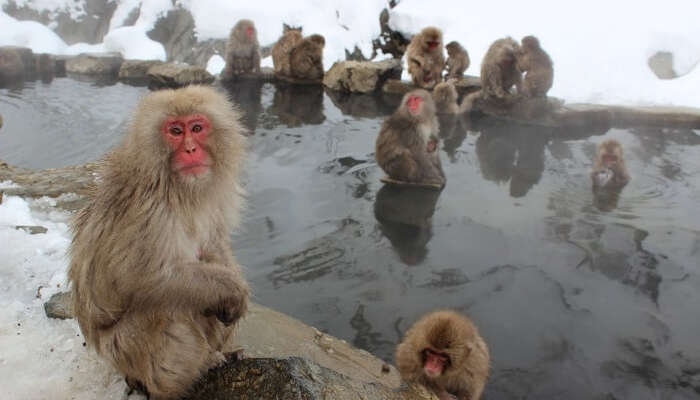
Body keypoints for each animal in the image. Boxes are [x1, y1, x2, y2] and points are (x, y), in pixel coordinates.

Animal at [68, 86, 249, 398]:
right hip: (125, 350)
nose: (190, 150)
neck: (177, 187)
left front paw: (235, 287)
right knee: (165, 306)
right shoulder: (150, 211)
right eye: (175, 131)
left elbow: (213, 244)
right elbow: (145, 278)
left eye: (197, 128)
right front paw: (234, 289)